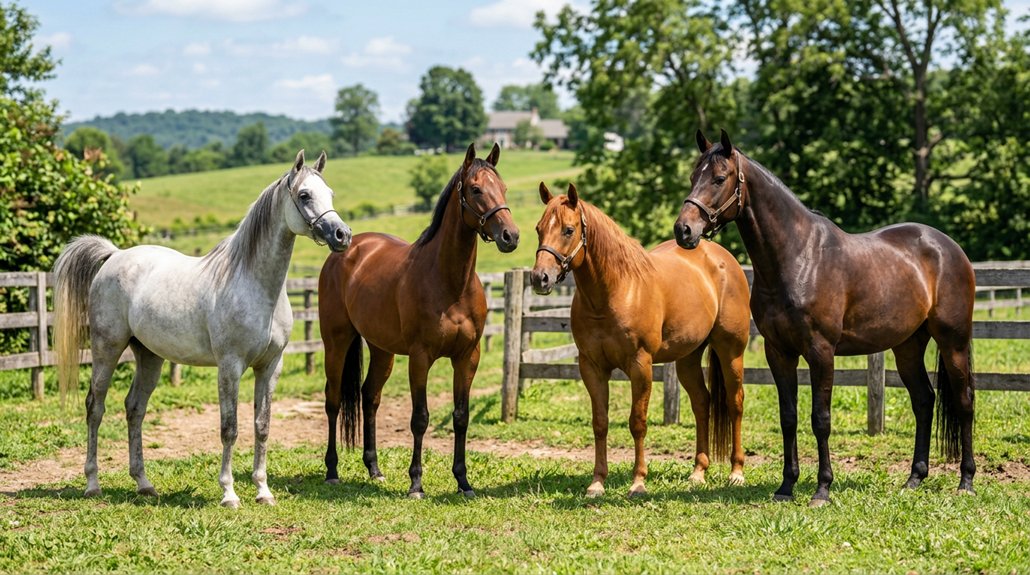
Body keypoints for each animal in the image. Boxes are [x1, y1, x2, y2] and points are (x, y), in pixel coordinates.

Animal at [53, 150, 351, 508]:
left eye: (330, 193)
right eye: (305, 195)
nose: (342, 235)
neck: (252, 283)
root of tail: (114, 256)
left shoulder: (270, 367)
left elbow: (262, 426)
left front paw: (263, 491)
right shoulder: (230, 366)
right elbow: (229, 428)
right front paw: (229, 493)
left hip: (149, 356)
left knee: (134, 409)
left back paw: (144, 484)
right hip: (106, 349)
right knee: (95, 408)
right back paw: (92, 484)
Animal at [318, 142, 519, 498]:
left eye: (504, 188)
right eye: (476, 189)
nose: (511, 236)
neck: (450, 283)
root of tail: (346, 249)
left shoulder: (468, 357)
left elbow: (461, 416)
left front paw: (463, 481)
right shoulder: (420, 357)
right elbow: (420, 418)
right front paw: (416, 483)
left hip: (382, 350)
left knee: (370, 397)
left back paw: (374, 469)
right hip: (336, 342)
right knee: (333, 400)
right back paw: (332, 470)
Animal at [530, 182, 751, 497]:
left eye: (568, 230)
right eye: (539, 229)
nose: (540, 278)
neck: (615, 291)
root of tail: (723, 259)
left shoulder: (640, 366)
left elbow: (638, 423)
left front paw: (638, 481)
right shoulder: (591, 367)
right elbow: (600, 423)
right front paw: (597, 482)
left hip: (730, 351)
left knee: (735, 403)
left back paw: (736, 472)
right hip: (687, 359)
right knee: (701, 403)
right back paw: (698, 472)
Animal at [674, 130, 977, 506]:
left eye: (719, 178)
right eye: (692, 176)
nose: (684, 230)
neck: (799, 257)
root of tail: (948, 247)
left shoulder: (821, 352)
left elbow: (820, 419)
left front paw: (822, 489)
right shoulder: (779, 352)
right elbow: (789, 417)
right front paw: (786, 486)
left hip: (953, 342)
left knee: (964, 402)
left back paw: (966, 481)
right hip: (908, 346)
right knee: (923, 400)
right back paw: (914, 479)